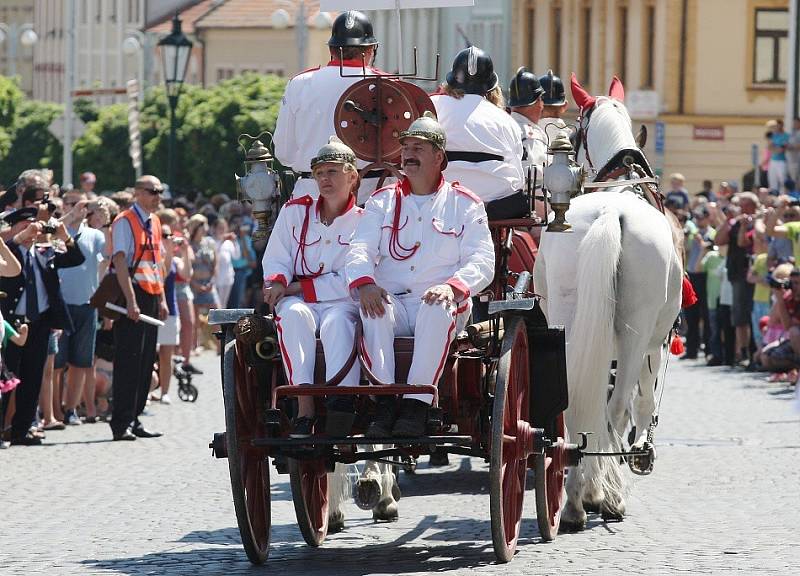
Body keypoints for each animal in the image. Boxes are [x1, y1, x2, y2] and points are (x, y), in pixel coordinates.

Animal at [532, 76, 680, 532]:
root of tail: (610, 213)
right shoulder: (656, 345)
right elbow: (642, 401)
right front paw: (634, 458)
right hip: (635, 337)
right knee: (615, 407)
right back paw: (603, 496)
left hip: (566, 324)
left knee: (573, 401)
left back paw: (575, 499)